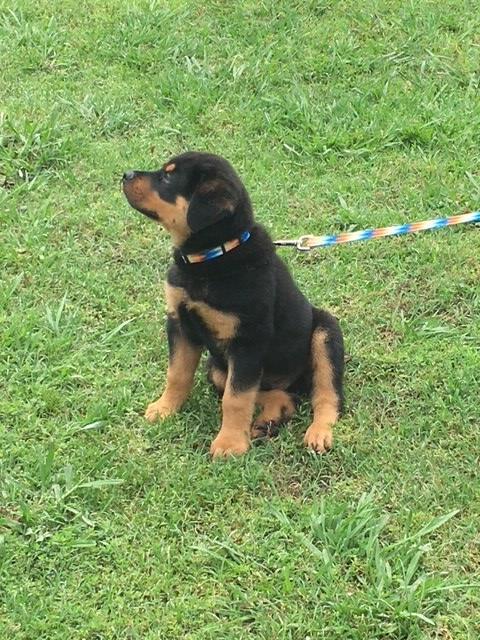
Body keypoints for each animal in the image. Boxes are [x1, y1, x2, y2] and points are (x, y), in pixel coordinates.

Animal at [122, 152, 344, 458]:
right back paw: (269, 419)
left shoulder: (247, 340)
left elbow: (236, 398)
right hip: (216, 368)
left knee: (326, 394)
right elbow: (178, 374)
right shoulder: (180, 323)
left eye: (167, 177)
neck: (210, 259)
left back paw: (319, 432)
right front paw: (164, 409)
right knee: (278, 394)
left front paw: (229, 444)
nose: (126, 174)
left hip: (325, 332)